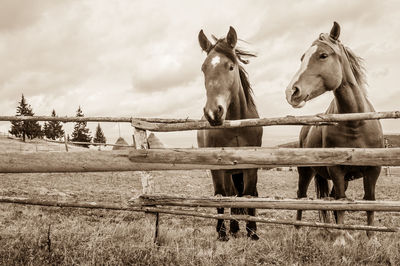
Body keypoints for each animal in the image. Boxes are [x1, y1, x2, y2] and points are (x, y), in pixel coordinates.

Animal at [196, 27, 262, 241]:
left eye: (230, 67)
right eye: (204, 68)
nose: (213, 112)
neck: (236, 126)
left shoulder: (251, 166)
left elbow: (248, 195)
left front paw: (252, 232)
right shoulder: (219, 168)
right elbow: (221, 196)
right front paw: (223, 232)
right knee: (227, 193)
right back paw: (230, 229)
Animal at [284, 21, 384, 237]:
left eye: (323, 55)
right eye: (302, 57)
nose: (291, 92)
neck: (355, 123)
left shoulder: (373, 171)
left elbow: (370, 204)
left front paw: (371, 238)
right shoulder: (337, 170)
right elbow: (341, 204)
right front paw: (341, 238)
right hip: (305, 172)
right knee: (301, 196)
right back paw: (297, 230)